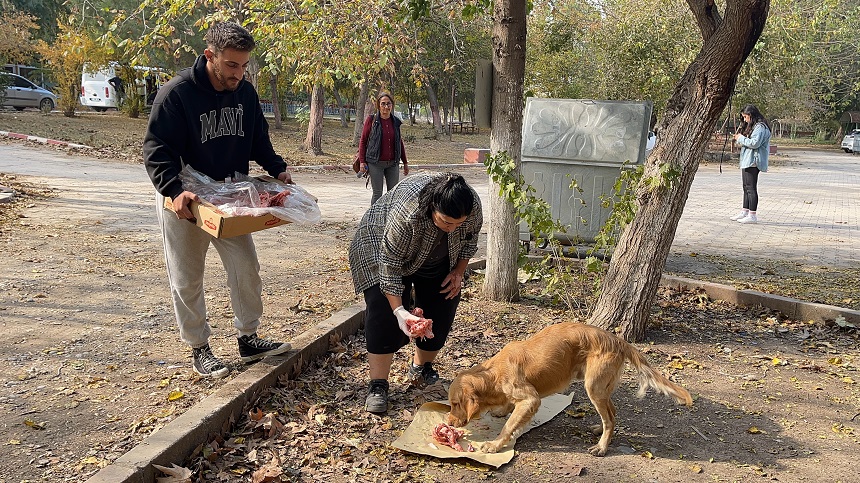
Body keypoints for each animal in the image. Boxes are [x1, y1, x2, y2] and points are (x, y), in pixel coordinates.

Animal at [444, 324, 692, 456]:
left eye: (455, 404)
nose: (448, 422)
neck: (494, 373)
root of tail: (618, 340)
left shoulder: (531, 399)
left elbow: (509, 426)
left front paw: (495, 444)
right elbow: (507, 410)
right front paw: (501, 410)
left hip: (593, 386)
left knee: (610, 419)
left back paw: (602, 447)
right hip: (601, 387)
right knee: (612, 413)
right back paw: (598, 430)